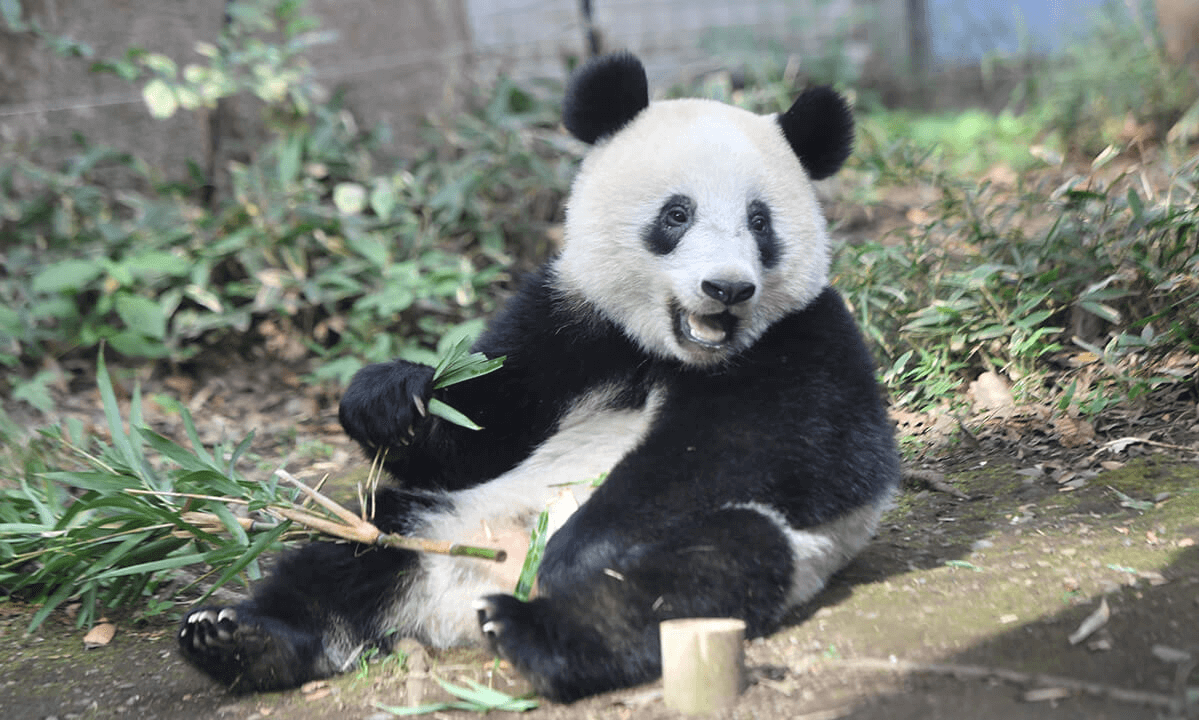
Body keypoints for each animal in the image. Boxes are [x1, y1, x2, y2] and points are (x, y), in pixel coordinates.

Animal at [177, 54, 901, 699]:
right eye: (677, 214)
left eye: (759, 222)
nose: (726, 289)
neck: (664, 352)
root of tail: (460, 600)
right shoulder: (569, 322)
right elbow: (482, 430)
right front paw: (391, 399)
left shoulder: (807, 339)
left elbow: (783, 451)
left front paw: (582, 545)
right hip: (440, 518)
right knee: (353, 548)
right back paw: (242, 640)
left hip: (760, 546)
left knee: (695, 575)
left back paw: (536, 626)